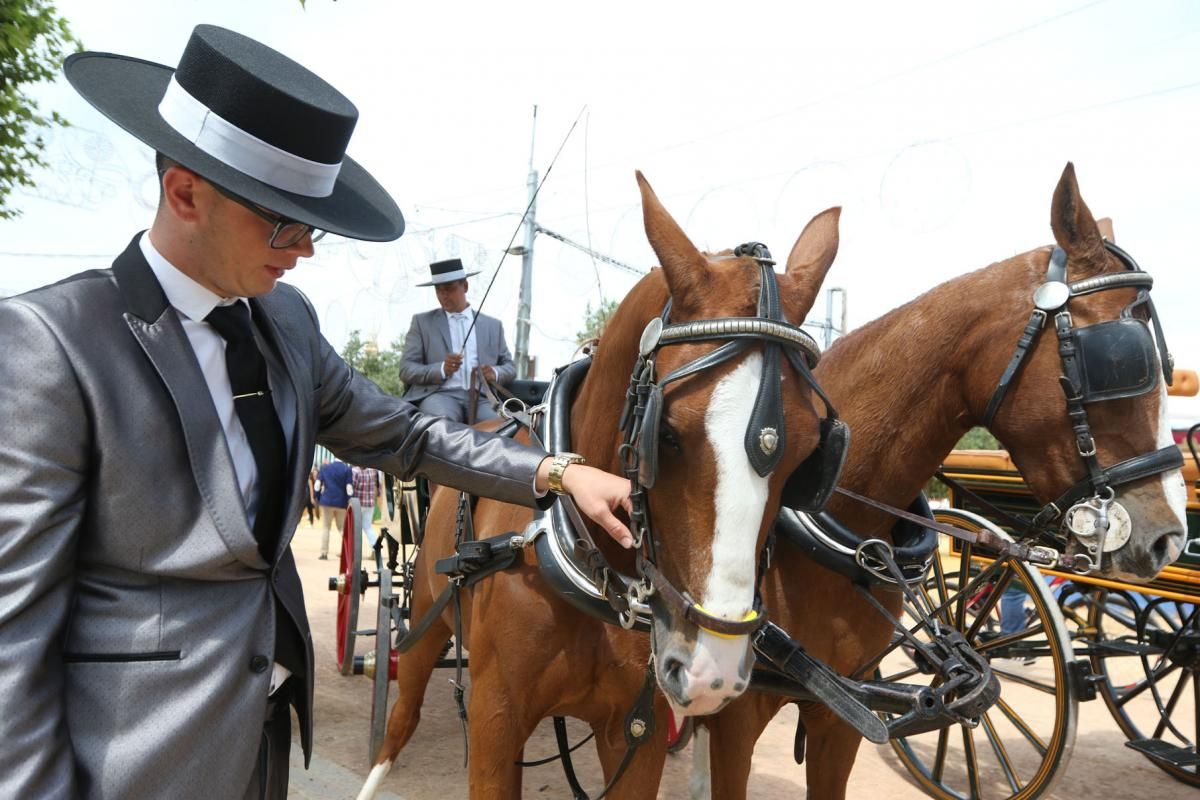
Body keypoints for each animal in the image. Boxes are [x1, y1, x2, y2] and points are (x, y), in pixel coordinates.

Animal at [355, 172, 844, 796]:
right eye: (668, 434)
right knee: (402, 715)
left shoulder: (636, 734)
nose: (712, 669)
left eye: (809, 455)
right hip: (425, 615)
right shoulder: (495, 717)